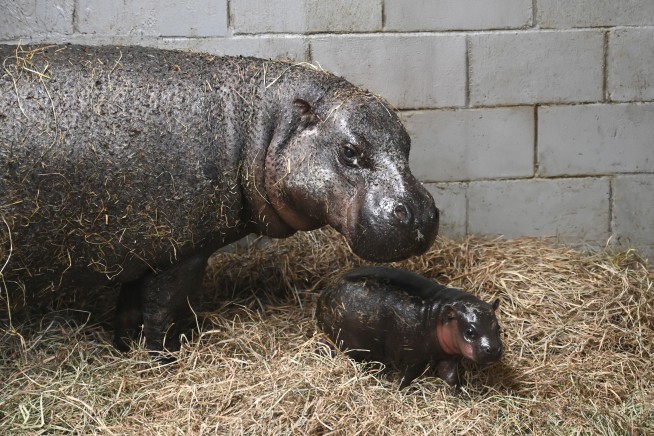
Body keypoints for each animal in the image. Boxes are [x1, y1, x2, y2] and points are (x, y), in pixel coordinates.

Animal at [0, 45, 439, 351]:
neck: (260, 126)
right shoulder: (180, 253)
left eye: (408, 143)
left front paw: (124, 349)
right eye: (349, 151)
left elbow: (128, 309)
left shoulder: (143, 249)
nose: (420, 213)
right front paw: (162, 357)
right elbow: (160, 312)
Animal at [315, 266, 502, 389]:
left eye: (498, 328)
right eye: (470, 331)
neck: (439, 316)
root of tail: (325, 292)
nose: (493, 349)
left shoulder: (448, 356)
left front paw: (460, 393)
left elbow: (449, 376)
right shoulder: (415, 357)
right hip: (343, 340)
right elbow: (408, 376)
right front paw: (400, 391)